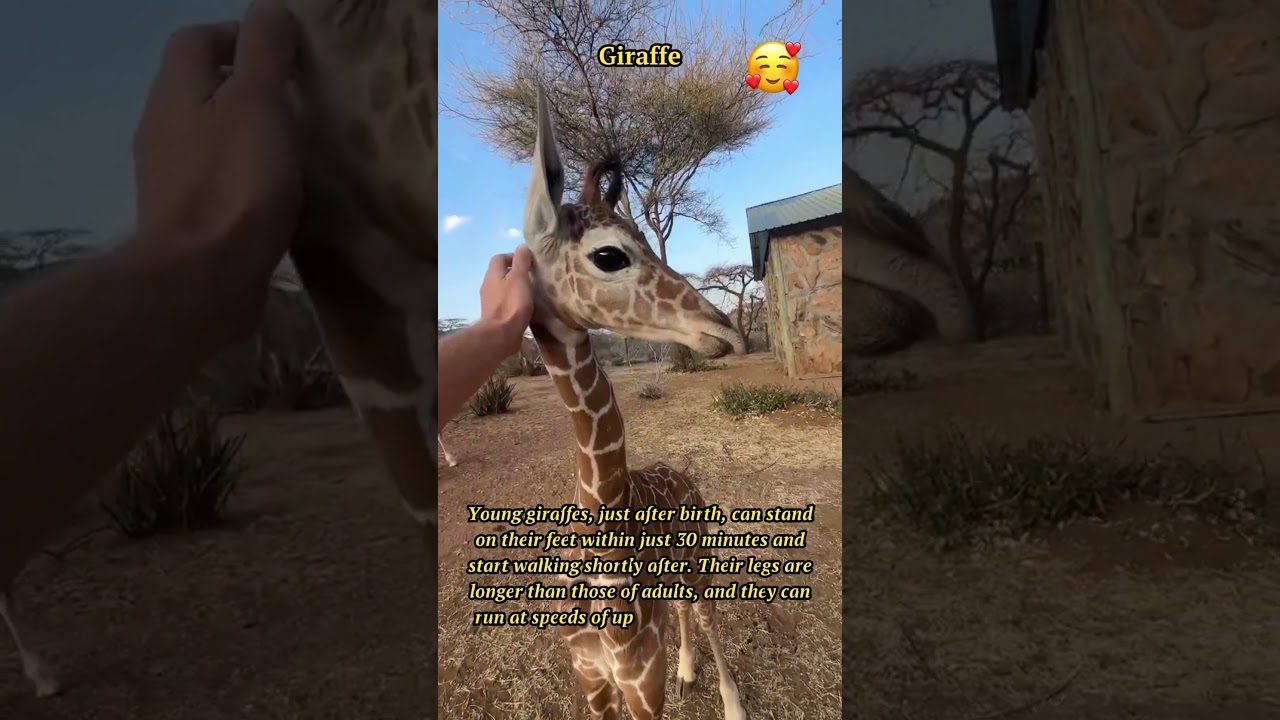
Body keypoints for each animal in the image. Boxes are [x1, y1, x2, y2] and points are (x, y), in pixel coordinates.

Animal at [521, 87, 748, 720]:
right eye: (610, 256)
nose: (725, 329)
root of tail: (683, 472)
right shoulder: (592, 677)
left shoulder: (641, 681)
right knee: (683, 614)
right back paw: (689, 672)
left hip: (697, 560)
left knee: (705, 613)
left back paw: (728, 700)